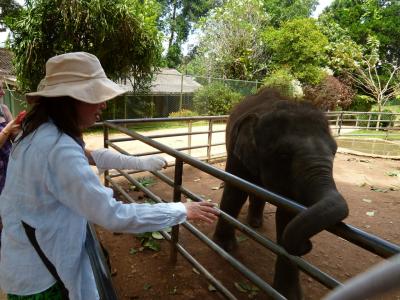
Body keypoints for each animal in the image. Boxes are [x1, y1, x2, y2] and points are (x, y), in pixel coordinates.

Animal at [214, 88, 348, 298]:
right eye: (284, 155)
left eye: (334, 152)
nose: (307, 245)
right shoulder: (237, 150)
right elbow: (236, 190)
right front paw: (225, 247)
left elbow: (288, 216)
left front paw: (288, 294)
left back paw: (256, 224)